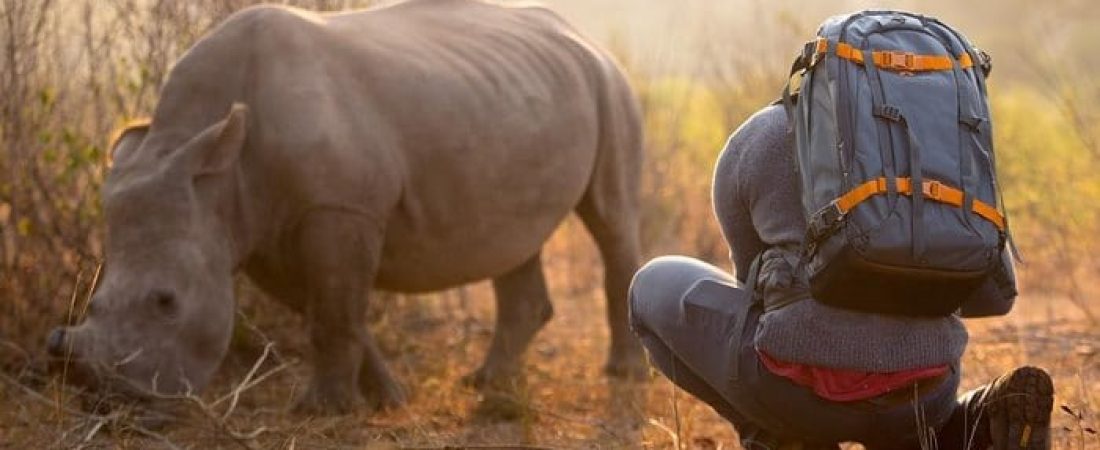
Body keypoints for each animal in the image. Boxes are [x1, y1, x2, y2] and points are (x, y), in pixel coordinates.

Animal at [47, 0, 646, 413]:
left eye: (166, 302)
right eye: (94, 304)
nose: (105, 397)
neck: (215, 169)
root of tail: (581, 35)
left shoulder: (339, 209)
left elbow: (334, 314)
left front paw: (323, 410)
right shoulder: (262, 227)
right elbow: (330, 311)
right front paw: (388, 398)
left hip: (609, 84)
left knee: (611, 219)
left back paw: (624, 374)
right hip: (522, 94)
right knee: (514, 238)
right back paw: (487, 382)